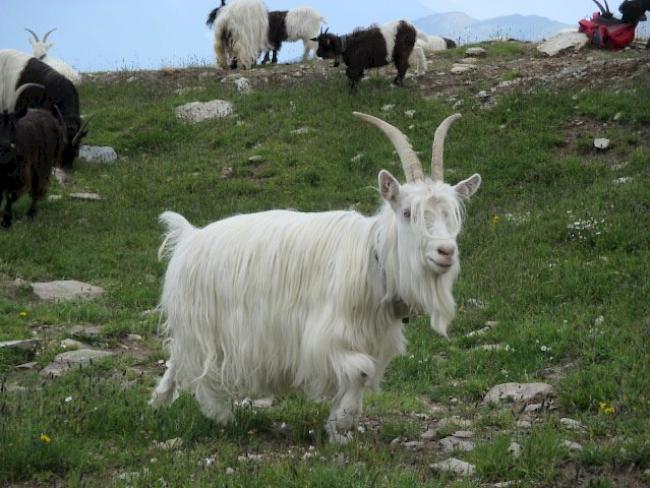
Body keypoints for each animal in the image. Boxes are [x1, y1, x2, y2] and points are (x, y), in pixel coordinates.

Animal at [0, 84, 65, 229]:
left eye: (14, 126)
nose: (6, 148)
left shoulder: (20, 174)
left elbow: (11, 196)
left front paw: (7, 221)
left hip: (42, 166)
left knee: (37, 190)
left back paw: (31, 214)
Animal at [149, 112, 478, 444]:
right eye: (408, 212)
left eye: (450, 214)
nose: (445, 251)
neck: (371, 257)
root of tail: (189, 236)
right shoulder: (327, 335)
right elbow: (359, 371)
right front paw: (340, 426)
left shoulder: (373, 336)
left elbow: (363, 374)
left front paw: (340, 425)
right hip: (203, 324)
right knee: (199, 368)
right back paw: (220, 415)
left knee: (178, 357)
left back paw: (159, 401)